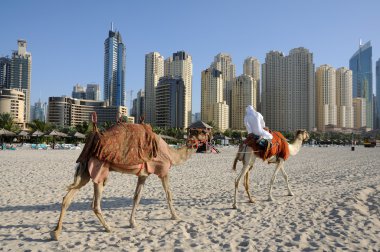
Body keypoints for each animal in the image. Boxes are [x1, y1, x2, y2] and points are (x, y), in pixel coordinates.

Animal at [52, 123, 199, 241]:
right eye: (201, 131)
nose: (199, 142)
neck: (171, 153)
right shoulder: (163, 171)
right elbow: (168, 194)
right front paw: (176, 216)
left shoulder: (143, 175)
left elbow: (136, 197)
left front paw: (132, 223)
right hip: (99, 169)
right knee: (95, 203)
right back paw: (108, 228)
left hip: (85, 172)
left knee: (67, 198)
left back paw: (56, 233)